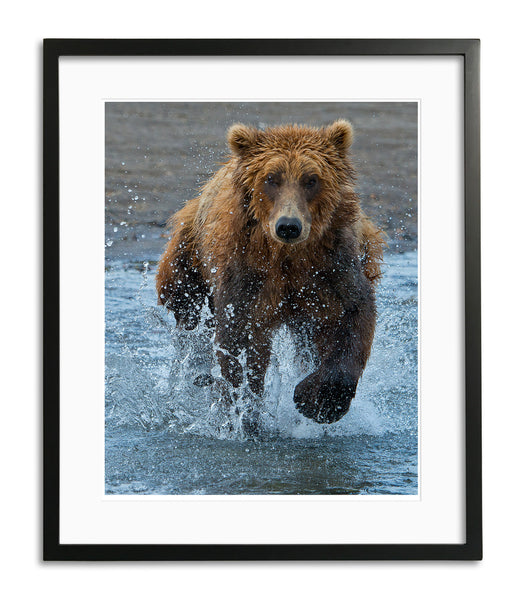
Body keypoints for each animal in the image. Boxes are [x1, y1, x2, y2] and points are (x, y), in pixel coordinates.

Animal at [155, 119, 384, 424]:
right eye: (271, 178)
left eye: (311, 179)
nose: (288, 226)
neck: (287, 257)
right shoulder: (247, 273)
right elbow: (239, 340)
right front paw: (242, 409)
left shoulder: (331, 268)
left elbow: (354, 315)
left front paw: (318, 400)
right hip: (189, 251)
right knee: (186, 309)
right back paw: (198, 373)